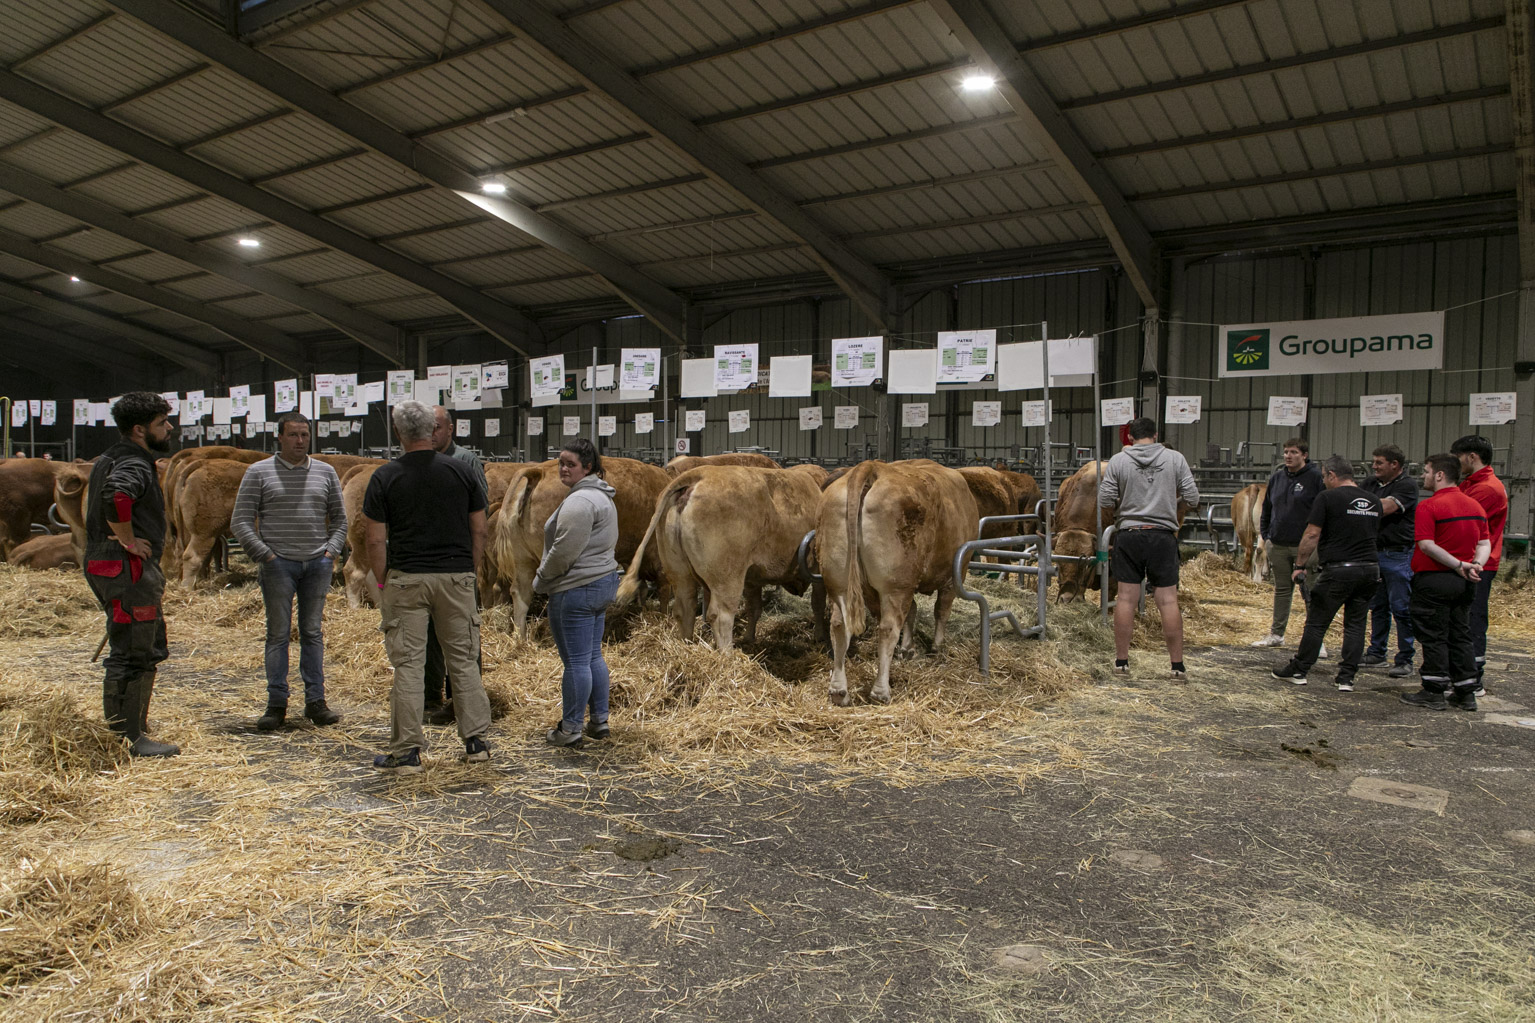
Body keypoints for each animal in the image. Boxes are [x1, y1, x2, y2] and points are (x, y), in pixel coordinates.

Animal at [491, 457, 670, 638]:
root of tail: (539, 471)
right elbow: (664, 590)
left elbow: (643, 588)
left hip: (522, 559)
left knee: (521, 594)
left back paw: (520, 637)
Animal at [615, 466, 825, 650]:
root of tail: (699, 474)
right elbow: (818, 604)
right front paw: (819, 637)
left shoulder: (752, 578)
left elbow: (754, 608)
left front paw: (749, 638)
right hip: (727, 578)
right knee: (720, 615)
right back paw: (727, 655)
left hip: (679, 572)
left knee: (685, 608)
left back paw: (686, 646)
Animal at [817, 460, 979, 706]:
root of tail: (872, 467)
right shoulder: (954, 573)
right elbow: (941, 610)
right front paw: (936, 648)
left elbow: (912, 610)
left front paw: (908, 648)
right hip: (896, 585)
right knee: (888, 629)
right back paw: (880, 692)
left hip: (839, 582)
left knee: (839, 625)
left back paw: (839, 691)